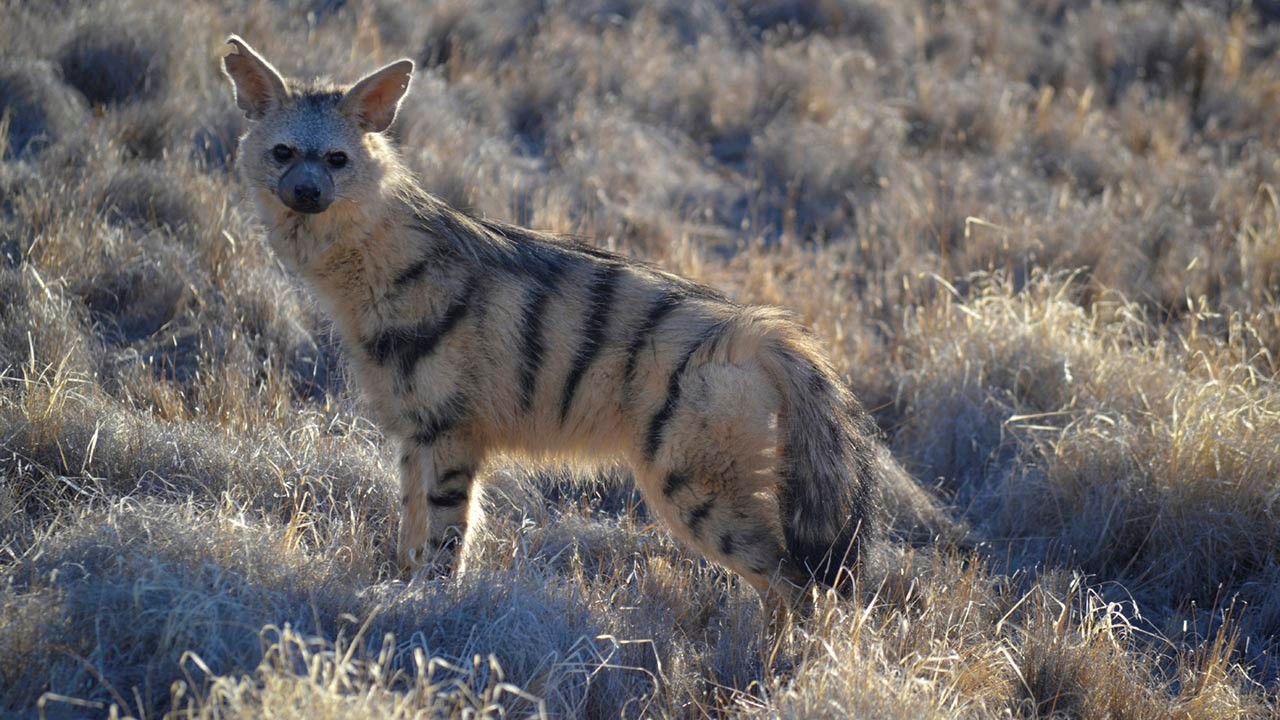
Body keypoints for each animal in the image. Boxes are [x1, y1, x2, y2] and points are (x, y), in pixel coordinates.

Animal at [222, 36, 896, 612]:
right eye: (283, 152)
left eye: (337, 159)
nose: (306, 192)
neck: (375, 275)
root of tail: (754, 333)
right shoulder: (414, 430)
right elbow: (410, 531)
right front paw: (398, 591)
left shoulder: (451, 431)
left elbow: (444, 538)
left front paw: (432, 610)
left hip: (692, 485)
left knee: (796, 584)